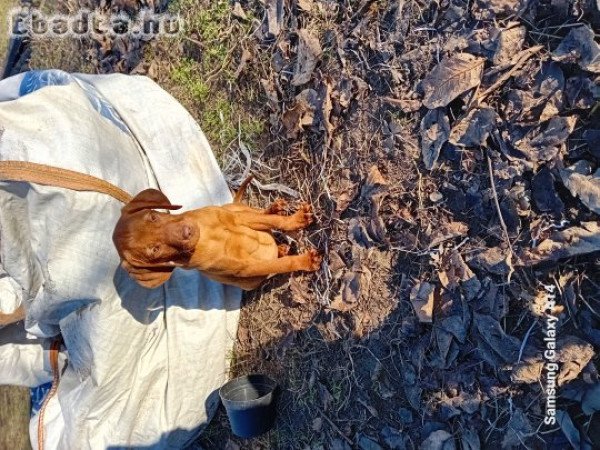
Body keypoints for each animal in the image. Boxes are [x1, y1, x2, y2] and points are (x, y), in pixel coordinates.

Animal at [110, 179, 322, 292]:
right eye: (155, 249)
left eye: (153, 217)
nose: (187, 231)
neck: (207, 236)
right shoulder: (247, 268)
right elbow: (281, 264)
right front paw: (305, 261)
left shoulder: (239, 219)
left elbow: (276, 222)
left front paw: (296, 220)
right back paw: (282, 248)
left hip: (236, 210)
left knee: (259, 214)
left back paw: (275, 209)